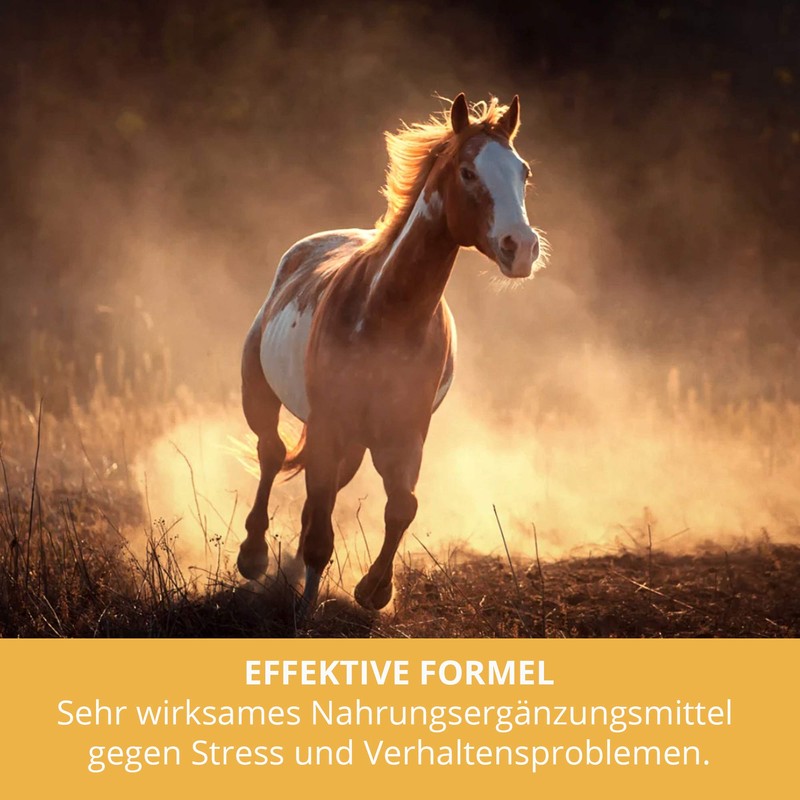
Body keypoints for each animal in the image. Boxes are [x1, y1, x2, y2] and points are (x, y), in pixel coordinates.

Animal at [237, 93, 542, 612]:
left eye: (523, 171)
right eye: (467, 171)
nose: (519, 247)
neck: (386, 314)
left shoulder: (406, 433)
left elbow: (401, 506)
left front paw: (374, 590)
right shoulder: (330, 423)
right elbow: (319, 524)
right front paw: (307, 606)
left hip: (355, 442)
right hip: (262, 395)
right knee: (272, 453)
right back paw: (253, 557)